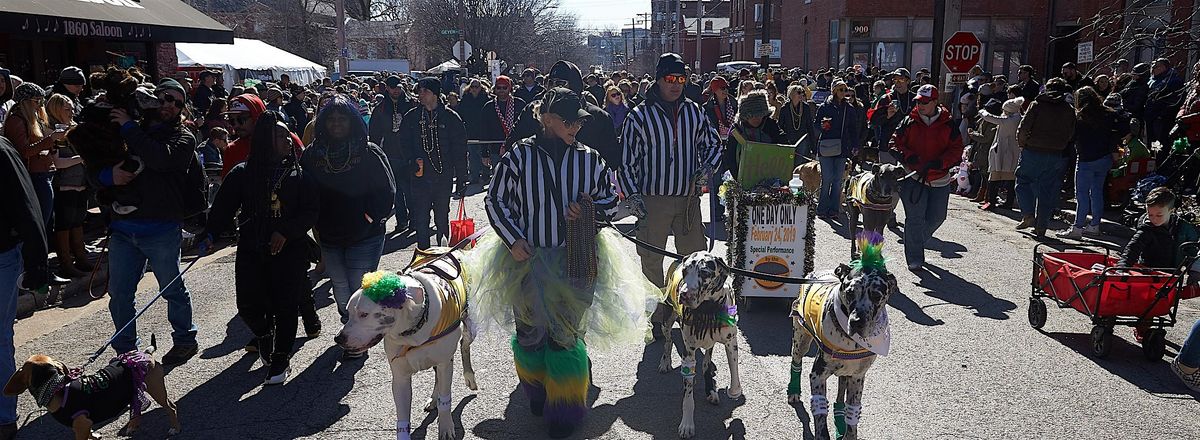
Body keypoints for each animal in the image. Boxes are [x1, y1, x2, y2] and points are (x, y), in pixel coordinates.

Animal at [657, 251, 739, 438]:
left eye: (704, 273)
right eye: (685, 271)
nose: (684, 294)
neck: (708, 308)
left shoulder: (730, 342)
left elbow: (732, 370)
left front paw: (730, 391)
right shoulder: (688, 352)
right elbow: (688, 397)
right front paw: (687, 424)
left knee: (706, 362)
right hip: (666, 320)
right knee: (668, 341)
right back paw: (665, 362)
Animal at [782, 232, 897, 438]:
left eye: (877, 295)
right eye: (850, 292)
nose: (857, 322)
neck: (851, 342)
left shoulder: (858, 377)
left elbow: (853, 416)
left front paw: (847, 430)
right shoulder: (818, 376)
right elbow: (820, 416)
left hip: (847, 373)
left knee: (841, 395)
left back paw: (840, 420)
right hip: (801, 340)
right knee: (796, 362)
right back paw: (793, 390)